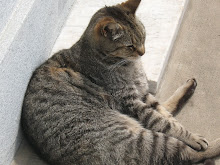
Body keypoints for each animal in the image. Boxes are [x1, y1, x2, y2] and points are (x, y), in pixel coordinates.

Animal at [21, 0, 220, 164]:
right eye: (129, 46)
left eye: (144, 36)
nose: (143, 52)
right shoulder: (132, 102)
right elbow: (165, 123)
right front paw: (193, 137)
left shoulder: (142, 93)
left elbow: (166, 114)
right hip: (143, 141)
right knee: (188, 154)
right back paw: (214, 143)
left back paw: (189, 87)